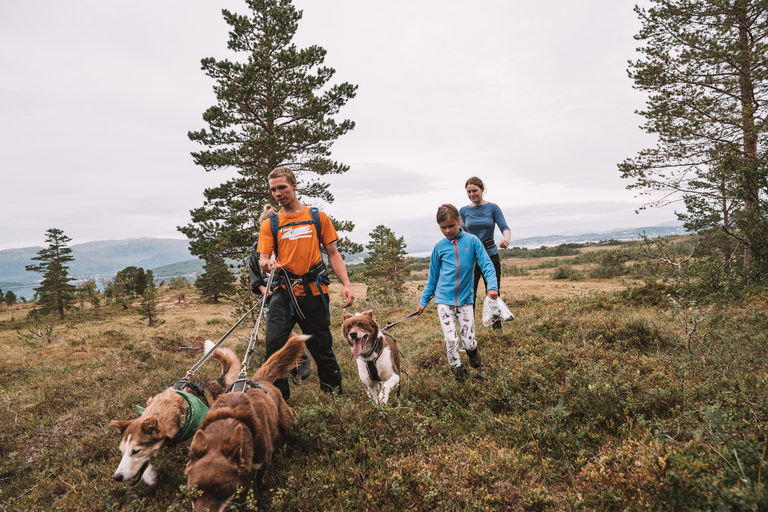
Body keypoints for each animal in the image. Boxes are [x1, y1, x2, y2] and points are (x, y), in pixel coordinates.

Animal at [184, 334, 308, 510]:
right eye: (193, 492)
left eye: (221, 491)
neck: (229, 423)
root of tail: (261, 380)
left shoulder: (263, 462)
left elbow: (256, 484)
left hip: (287, 423)